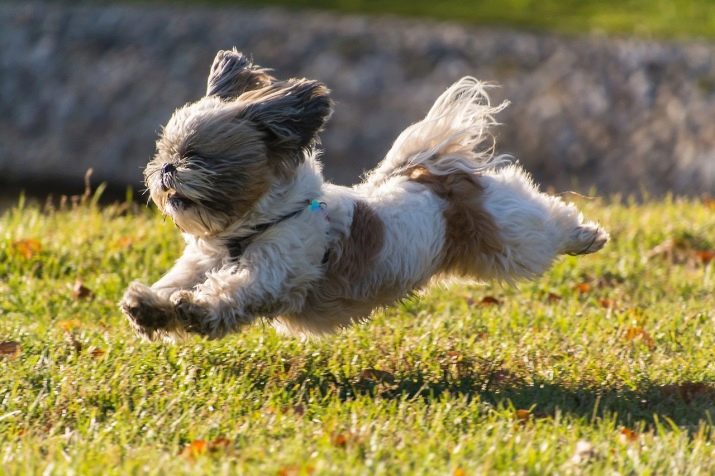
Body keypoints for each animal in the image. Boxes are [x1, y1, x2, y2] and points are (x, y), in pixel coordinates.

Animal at [119, 49, 608, 342]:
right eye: (164, 151)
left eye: (197, 156)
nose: (166, 169)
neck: (249, 228)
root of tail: (438, 176)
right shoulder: (199, 263)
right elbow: (174, 285)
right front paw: (149, 307)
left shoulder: (276, 269)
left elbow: (231, 291)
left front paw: (192, 308)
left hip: (508, 238)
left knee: (545, 222)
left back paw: (585, 236)